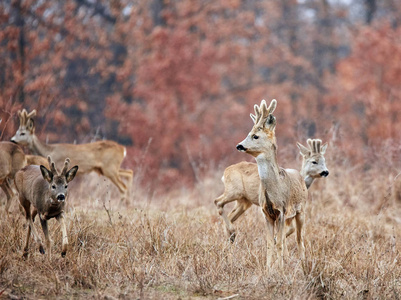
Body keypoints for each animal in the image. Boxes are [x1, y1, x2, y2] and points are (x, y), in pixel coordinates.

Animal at [234, 99, 306, 268]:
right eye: (248, 134)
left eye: (255, 136)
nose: (239, 145)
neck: (274, 190)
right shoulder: (267, 213)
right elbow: (269, 243)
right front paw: (269, 269)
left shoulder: (281, 210)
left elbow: (278, 243)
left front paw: (280, 269)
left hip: (301, 210)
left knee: (300, 239)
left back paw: (304, 263)